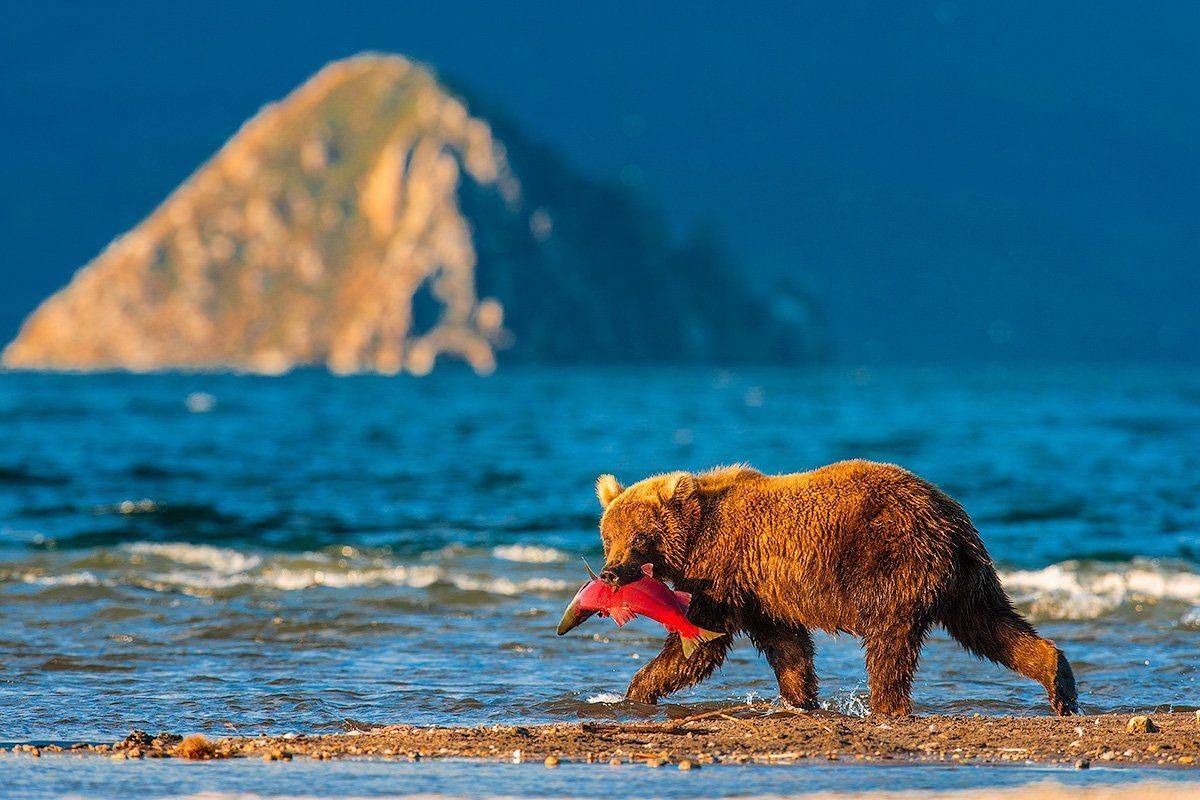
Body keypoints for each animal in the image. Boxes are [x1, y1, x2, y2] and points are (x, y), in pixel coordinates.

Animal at [587, 460, 1077, 717]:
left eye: (637, 538)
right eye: (608, 537)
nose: (609, 573)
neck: (695, 538)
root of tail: (949, 516)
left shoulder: (725, 571)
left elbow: (702, 641)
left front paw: (635, 689)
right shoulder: (763, 591)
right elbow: (787, 646)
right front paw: (801, 698)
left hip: (892, 561)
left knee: (889, 643)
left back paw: (886, 706)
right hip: (966, 577)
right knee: (990, 625)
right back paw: (1058, 680)